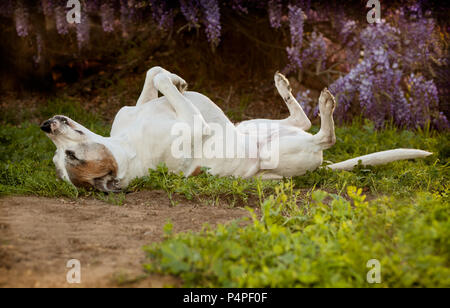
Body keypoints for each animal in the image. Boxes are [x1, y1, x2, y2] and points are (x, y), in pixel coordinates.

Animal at [40, 66, 430, 191]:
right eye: (67, 158)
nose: (45, 126)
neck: (127, 147)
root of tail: (322, 166)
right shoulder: (192, 122)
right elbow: (163, 82)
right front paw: (175, 83)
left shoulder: (137, 108)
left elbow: (155, 74)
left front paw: (178, 80)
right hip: (273, 152)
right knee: (325, 135)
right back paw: (325, 105)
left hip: (246, 124)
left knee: (301, 121)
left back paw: (284, 86)